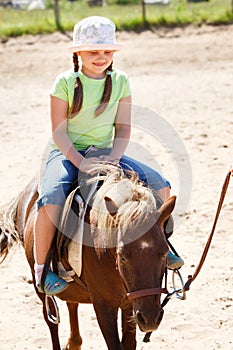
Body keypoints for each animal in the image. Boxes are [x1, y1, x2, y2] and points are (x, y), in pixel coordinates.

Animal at [0, 165, 175, 350]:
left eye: (164, 253)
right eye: (122, 256)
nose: (150, 318)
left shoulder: (130, 304)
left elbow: (129, 342)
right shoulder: (104, 305)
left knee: (71, 303)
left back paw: (74, 342)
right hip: (40, 287)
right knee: (51, 321)